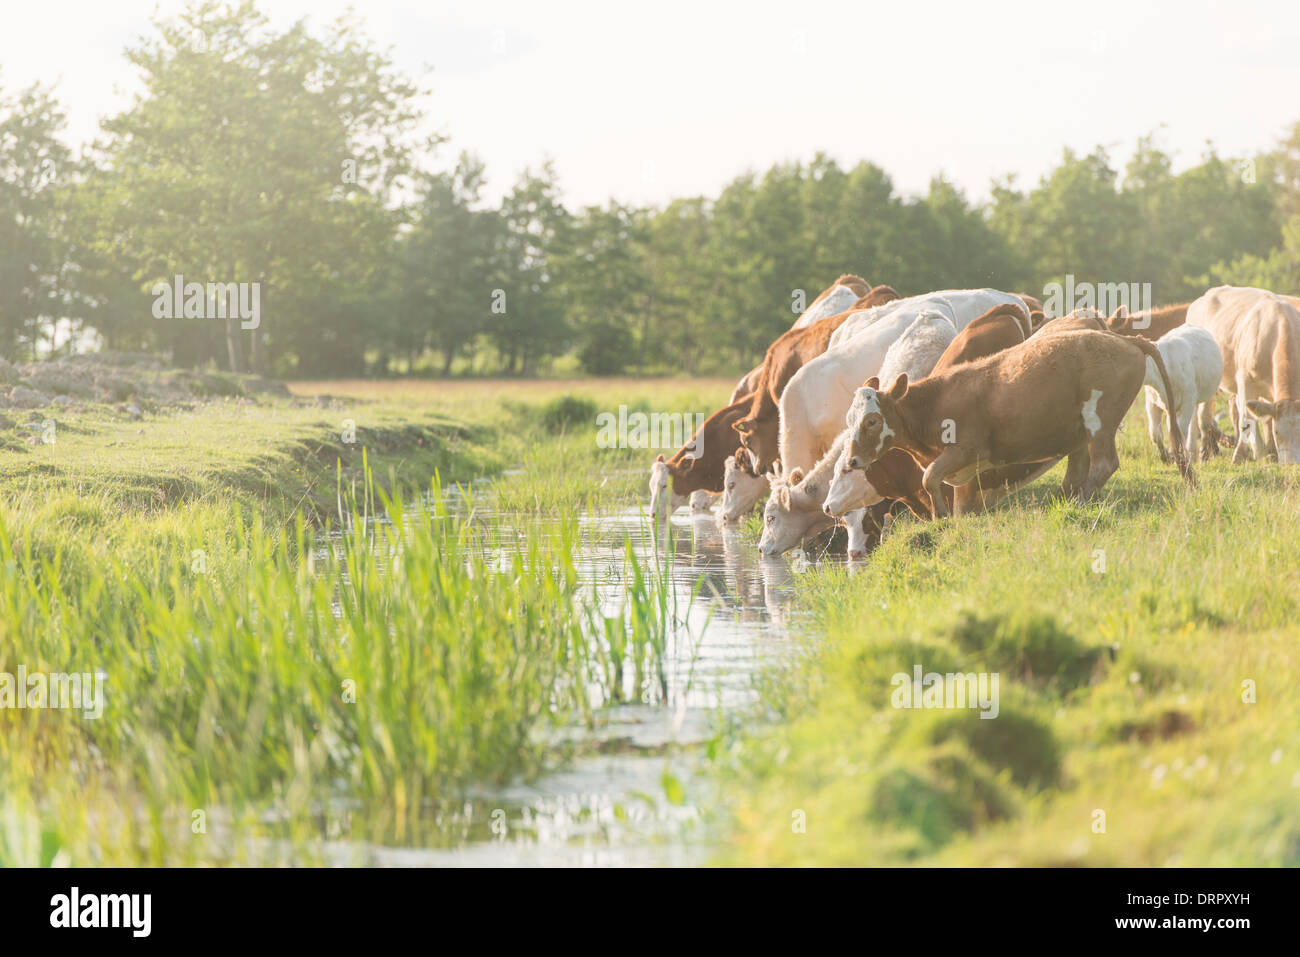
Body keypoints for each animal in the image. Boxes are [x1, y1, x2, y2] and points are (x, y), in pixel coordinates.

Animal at [842, 328, 1196, 514]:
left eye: (872, 421)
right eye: (850, 420)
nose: (852, 461)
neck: (935, 403)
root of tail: (1125, 339)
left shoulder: (967, 450)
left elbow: (930, 479)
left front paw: (941, 518)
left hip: (1100, 422)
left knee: (1104, 464)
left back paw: (1079, 502)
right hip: (1080, 433)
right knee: (1079, 469)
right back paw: (1065, 501)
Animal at [1144, 327, 1222, 465]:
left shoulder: (1187, 401)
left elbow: (1180, 430)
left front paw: (1178, 457)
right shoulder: (1152, 403)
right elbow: (1155, 434)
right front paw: (1165, 457)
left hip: (1205, 396)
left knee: (1203, 421)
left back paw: (1203, 454)